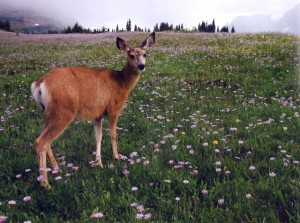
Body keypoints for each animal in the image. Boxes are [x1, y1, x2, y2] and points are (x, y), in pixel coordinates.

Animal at [31, 31, 156, 188]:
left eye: (145, 54)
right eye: (131, 55)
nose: (141, 66)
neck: (122, 83)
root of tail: (39, 84)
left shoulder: (97, 114)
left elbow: (98, 137)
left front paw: (98, 163)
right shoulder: (113, 109)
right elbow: (113, 134)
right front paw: (116, 157)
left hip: (48, 113)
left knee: (45, 140)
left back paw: (56, 169)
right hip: (63, 111)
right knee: (41, 141)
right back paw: (46, 183)